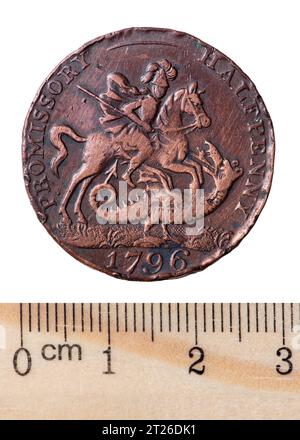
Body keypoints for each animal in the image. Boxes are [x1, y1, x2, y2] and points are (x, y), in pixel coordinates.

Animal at [50, 80, 210, 223]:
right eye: (196, 103)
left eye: (202, 102)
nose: (207, 122)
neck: (171, 133)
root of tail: (87, 138)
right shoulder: (168, 164)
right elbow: (190, 170)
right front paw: (194, 189)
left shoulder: (181, 160)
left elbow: (196, 167)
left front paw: (197, 185)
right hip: (94, 165)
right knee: (75, 178)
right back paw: (64, 214)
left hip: (98, 165)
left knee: (85, 182)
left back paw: (80, 215)